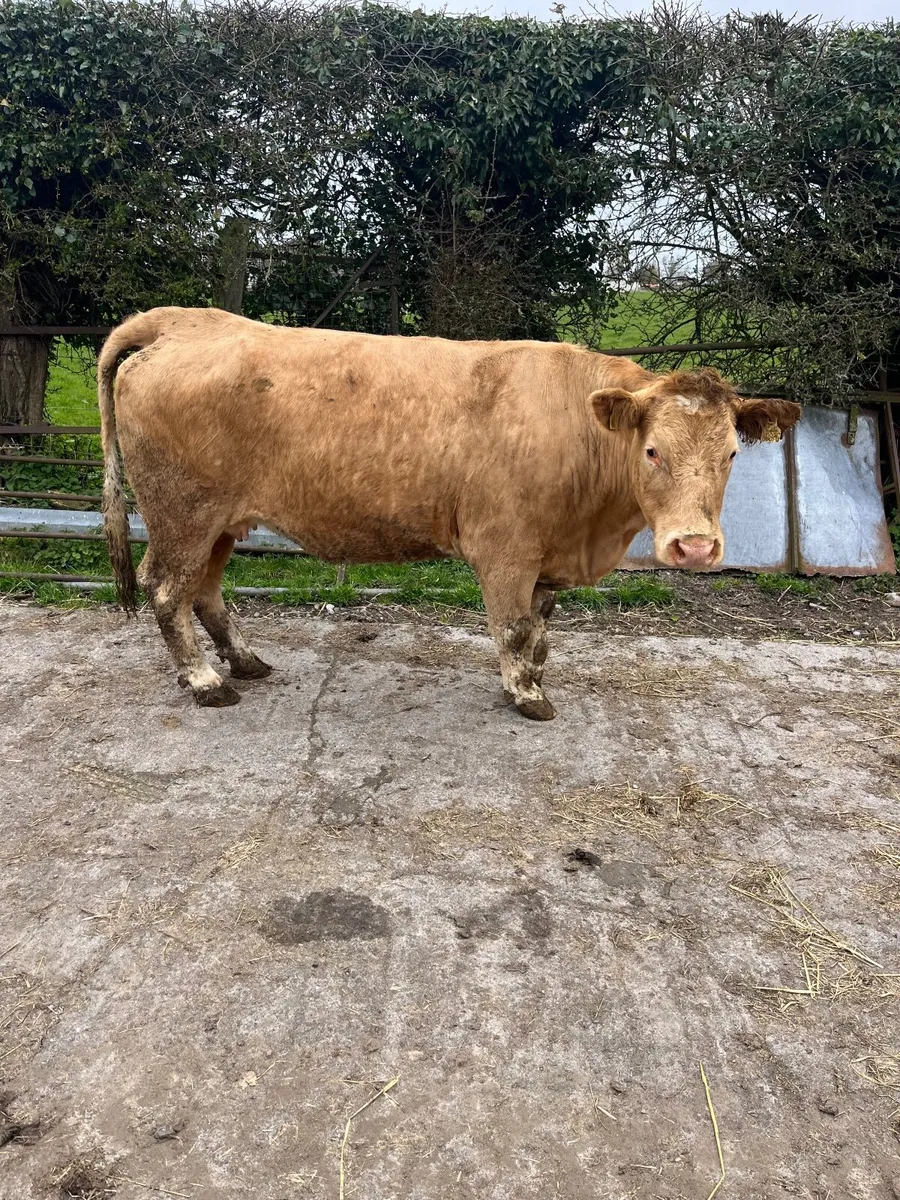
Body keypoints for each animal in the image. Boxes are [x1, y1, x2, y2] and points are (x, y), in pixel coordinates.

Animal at [98, 307, 800, 719]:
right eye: (652, 451)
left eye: (732, 453)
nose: (695, 547)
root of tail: (187, 322)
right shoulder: (505, 547)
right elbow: (513, 627)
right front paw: (527, 697)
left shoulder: (546, 556)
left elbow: (539, 631)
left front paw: (532, 678)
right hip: (183, 513)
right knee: (168, 591)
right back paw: (205, 682)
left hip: (220, 520)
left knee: (206, 592)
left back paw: (243, 660)